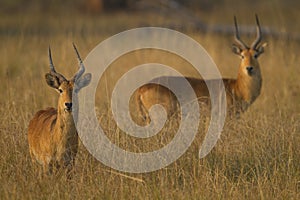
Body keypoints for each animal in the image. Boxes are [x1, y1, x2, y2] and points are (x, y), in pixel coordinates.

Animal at [28, 44, 91, 177]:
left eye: (76, 89)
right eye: (61, 90)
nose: (68, 104)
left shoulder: (70, 164)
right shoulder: (47, 165)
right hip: (34, 160)